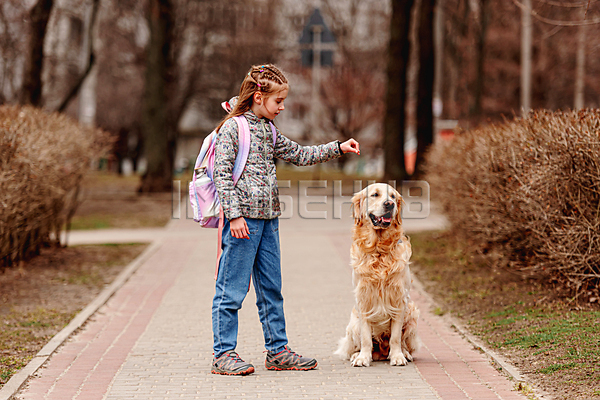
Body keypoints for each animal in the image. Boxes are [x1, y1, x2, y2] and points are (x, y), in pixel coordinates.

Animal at [336, 183, 420, 368]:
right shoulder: (364, 299)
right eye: (375, 195)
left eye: (393, 196)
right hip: (353, 323)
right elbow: (366, 337)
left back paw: (405, 353)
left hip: (412, 313)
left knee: (403, 342)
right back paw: (357, 354)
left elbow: (395, 337)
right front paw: (363, 357)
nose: (389, 204)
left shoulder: (399, 299)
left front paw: (397, 356)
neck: (379, 249)